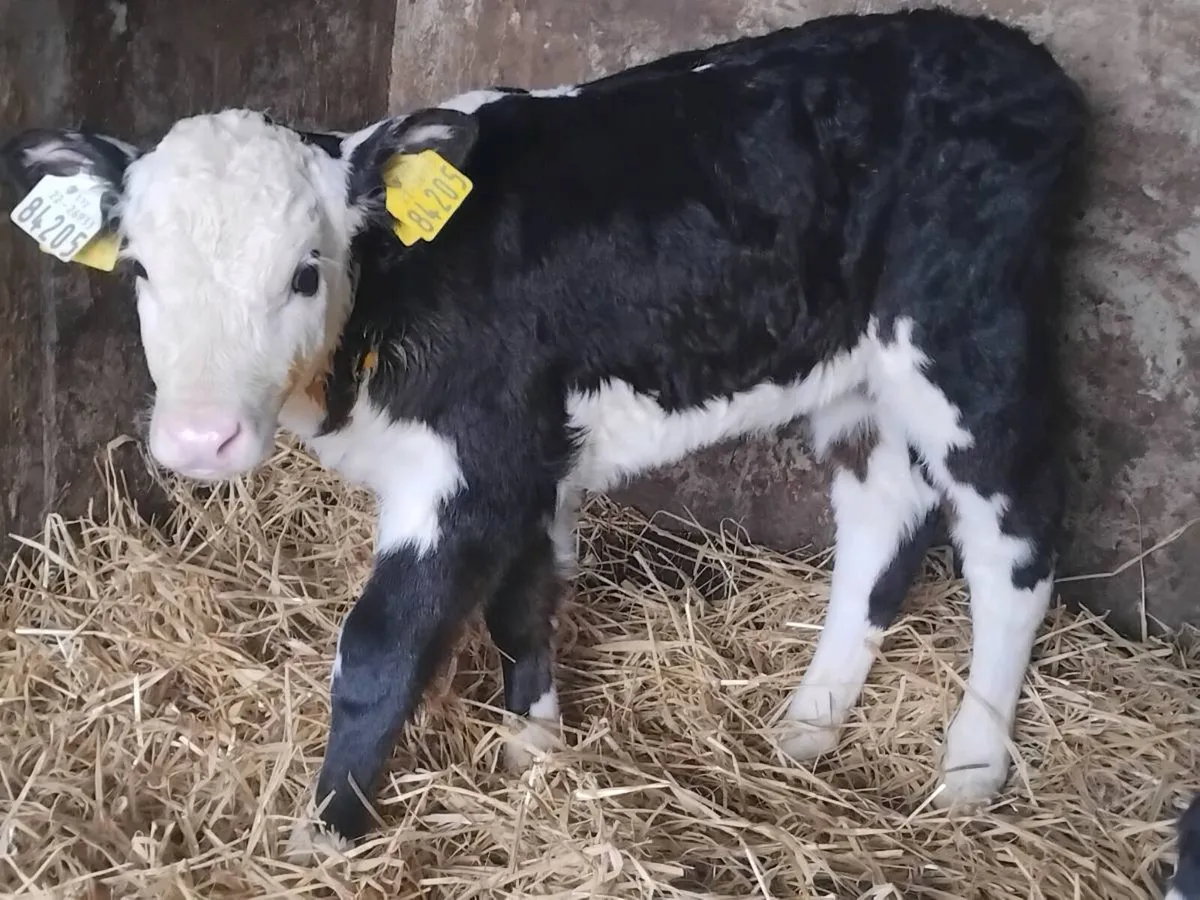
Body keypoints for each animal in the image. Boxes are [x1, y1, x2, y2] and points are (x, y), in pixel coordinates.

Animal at [1, 6, 1090, 850]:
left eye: (306, 271)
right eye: (139, 267)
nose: (200, 440)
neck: (398, 292)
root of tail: (1014, 53)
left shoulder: (472, 462)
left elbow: (379, 653)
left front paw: (323, 836)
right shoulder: (528, 454)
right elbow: (523, 602)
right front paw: (535, 748)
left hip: (971, 339)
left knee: (1015, 539)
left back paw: (970, 768)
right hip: (859, 379)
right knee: (880, 517)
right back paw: (809, 723)